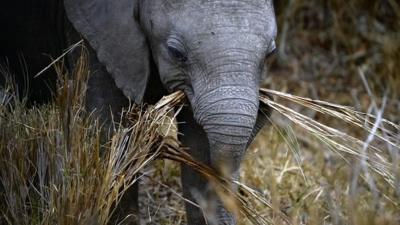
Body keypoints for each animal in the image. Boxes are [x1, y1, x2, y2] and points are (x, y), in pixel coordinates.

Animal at [0, 0, 276, 225]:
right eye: (176, 53)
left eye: (270, 53)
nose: (267, 106)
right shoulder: (94, 33)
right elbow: (108, 136)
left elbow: (198, 148)